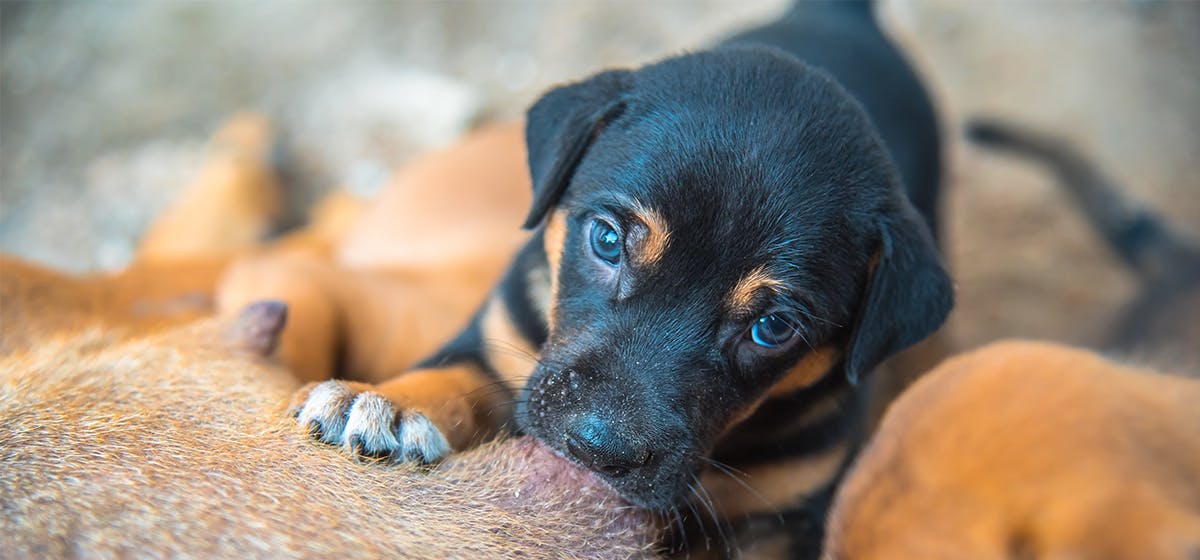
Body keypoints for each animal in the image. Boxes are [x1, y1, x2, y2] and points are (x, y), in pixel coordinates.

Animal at [295, 1, 950, 556]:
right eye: (607, 240)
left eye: (774, 328)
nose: (596, 449)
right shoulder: (497, 344)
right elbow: (449, 377)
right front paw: (382, 403)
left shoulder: (783, 515)